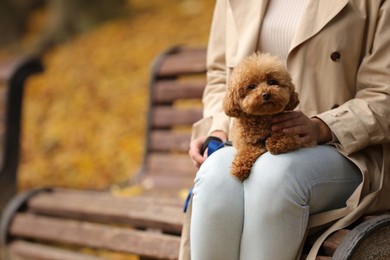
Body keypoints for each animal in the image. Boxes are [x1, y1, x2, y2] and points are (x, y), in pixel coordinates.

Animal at [222, 51, 302, 180]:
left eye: (272, 82)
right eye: (251, 86)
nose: (266, 94)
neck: (262, 118)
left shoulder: (297, 136)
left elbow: (287, 137)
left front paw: (274, 142)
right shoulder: (246, 142)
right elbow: (247, 150)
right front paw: (239, 166)